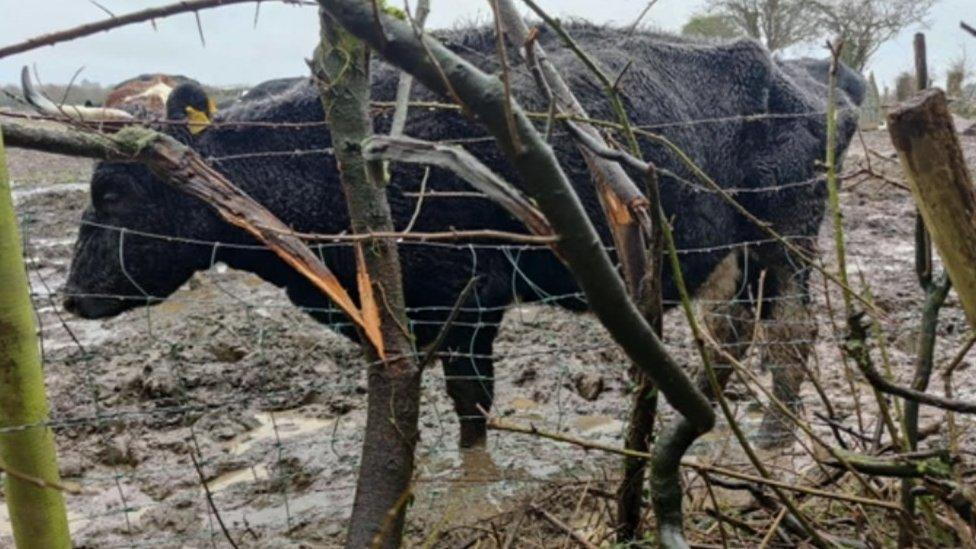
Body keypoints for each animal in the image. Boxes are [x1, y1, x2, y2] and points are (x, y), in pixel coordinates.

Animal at [45, 23, 860, 448]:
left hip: (789, 234)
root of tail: (803, 71)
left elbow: (473, 401)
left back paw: (775, 435)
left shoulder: (467, 303)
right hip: (733, 255)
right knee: (734, 328)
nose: (73, 296)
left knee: (790, 331)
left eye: (112, 189)